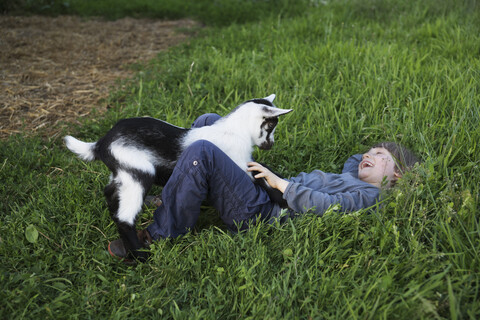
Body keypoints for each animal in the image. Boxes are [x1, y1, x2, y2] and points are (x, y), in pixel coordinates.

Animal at [64, 94, 292, 260]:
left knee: (110, 193)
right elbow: (261, 180)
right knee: (124, 217)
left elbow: (262, 171)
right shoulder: (239, 163)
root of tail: (101, 144)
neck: (235, 130)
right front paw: (283, 199)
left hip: (123, 172)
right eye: (271, 125)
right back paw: (140, 257)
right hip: (139, 172)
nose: (270, 145)